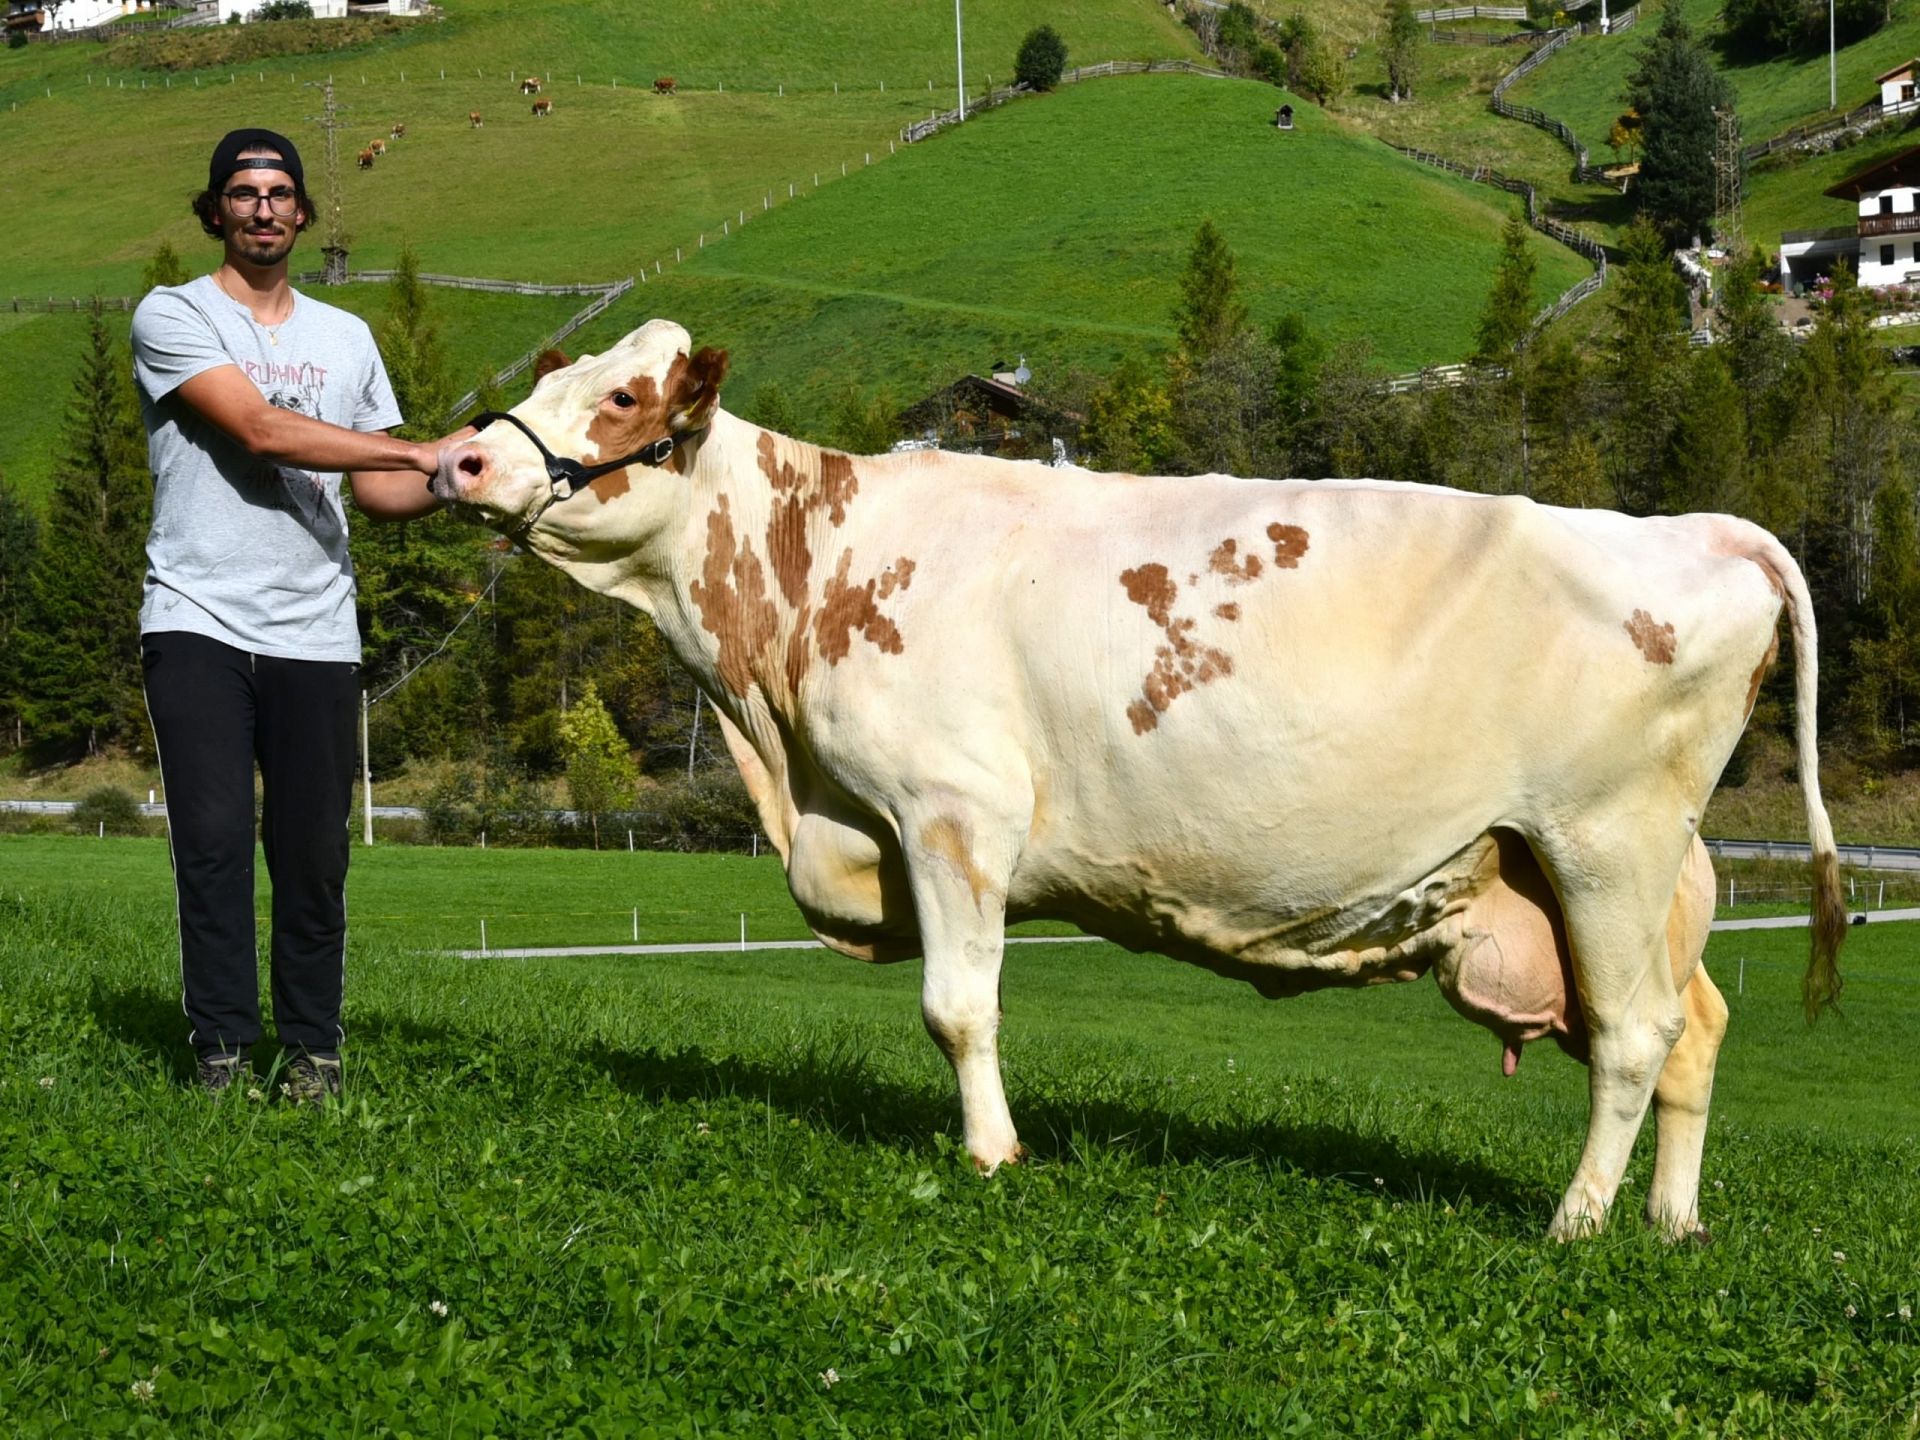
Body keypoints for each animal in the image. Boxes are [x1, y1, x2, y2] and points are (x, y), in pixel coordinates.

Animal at [435, 320, 1843, 1244]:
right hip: (1640, 869)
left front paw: (994, 1157)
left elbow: (958, 1008)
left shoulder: (952, 813)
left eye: (624, 397)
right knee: (1693, 1026)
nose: (459, 459)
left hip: (1608, 841)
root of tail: (1702, 528)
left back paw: (1578, 1223)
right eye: (549, 378)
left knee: (1634, 1036)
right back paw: (1670, 1222)